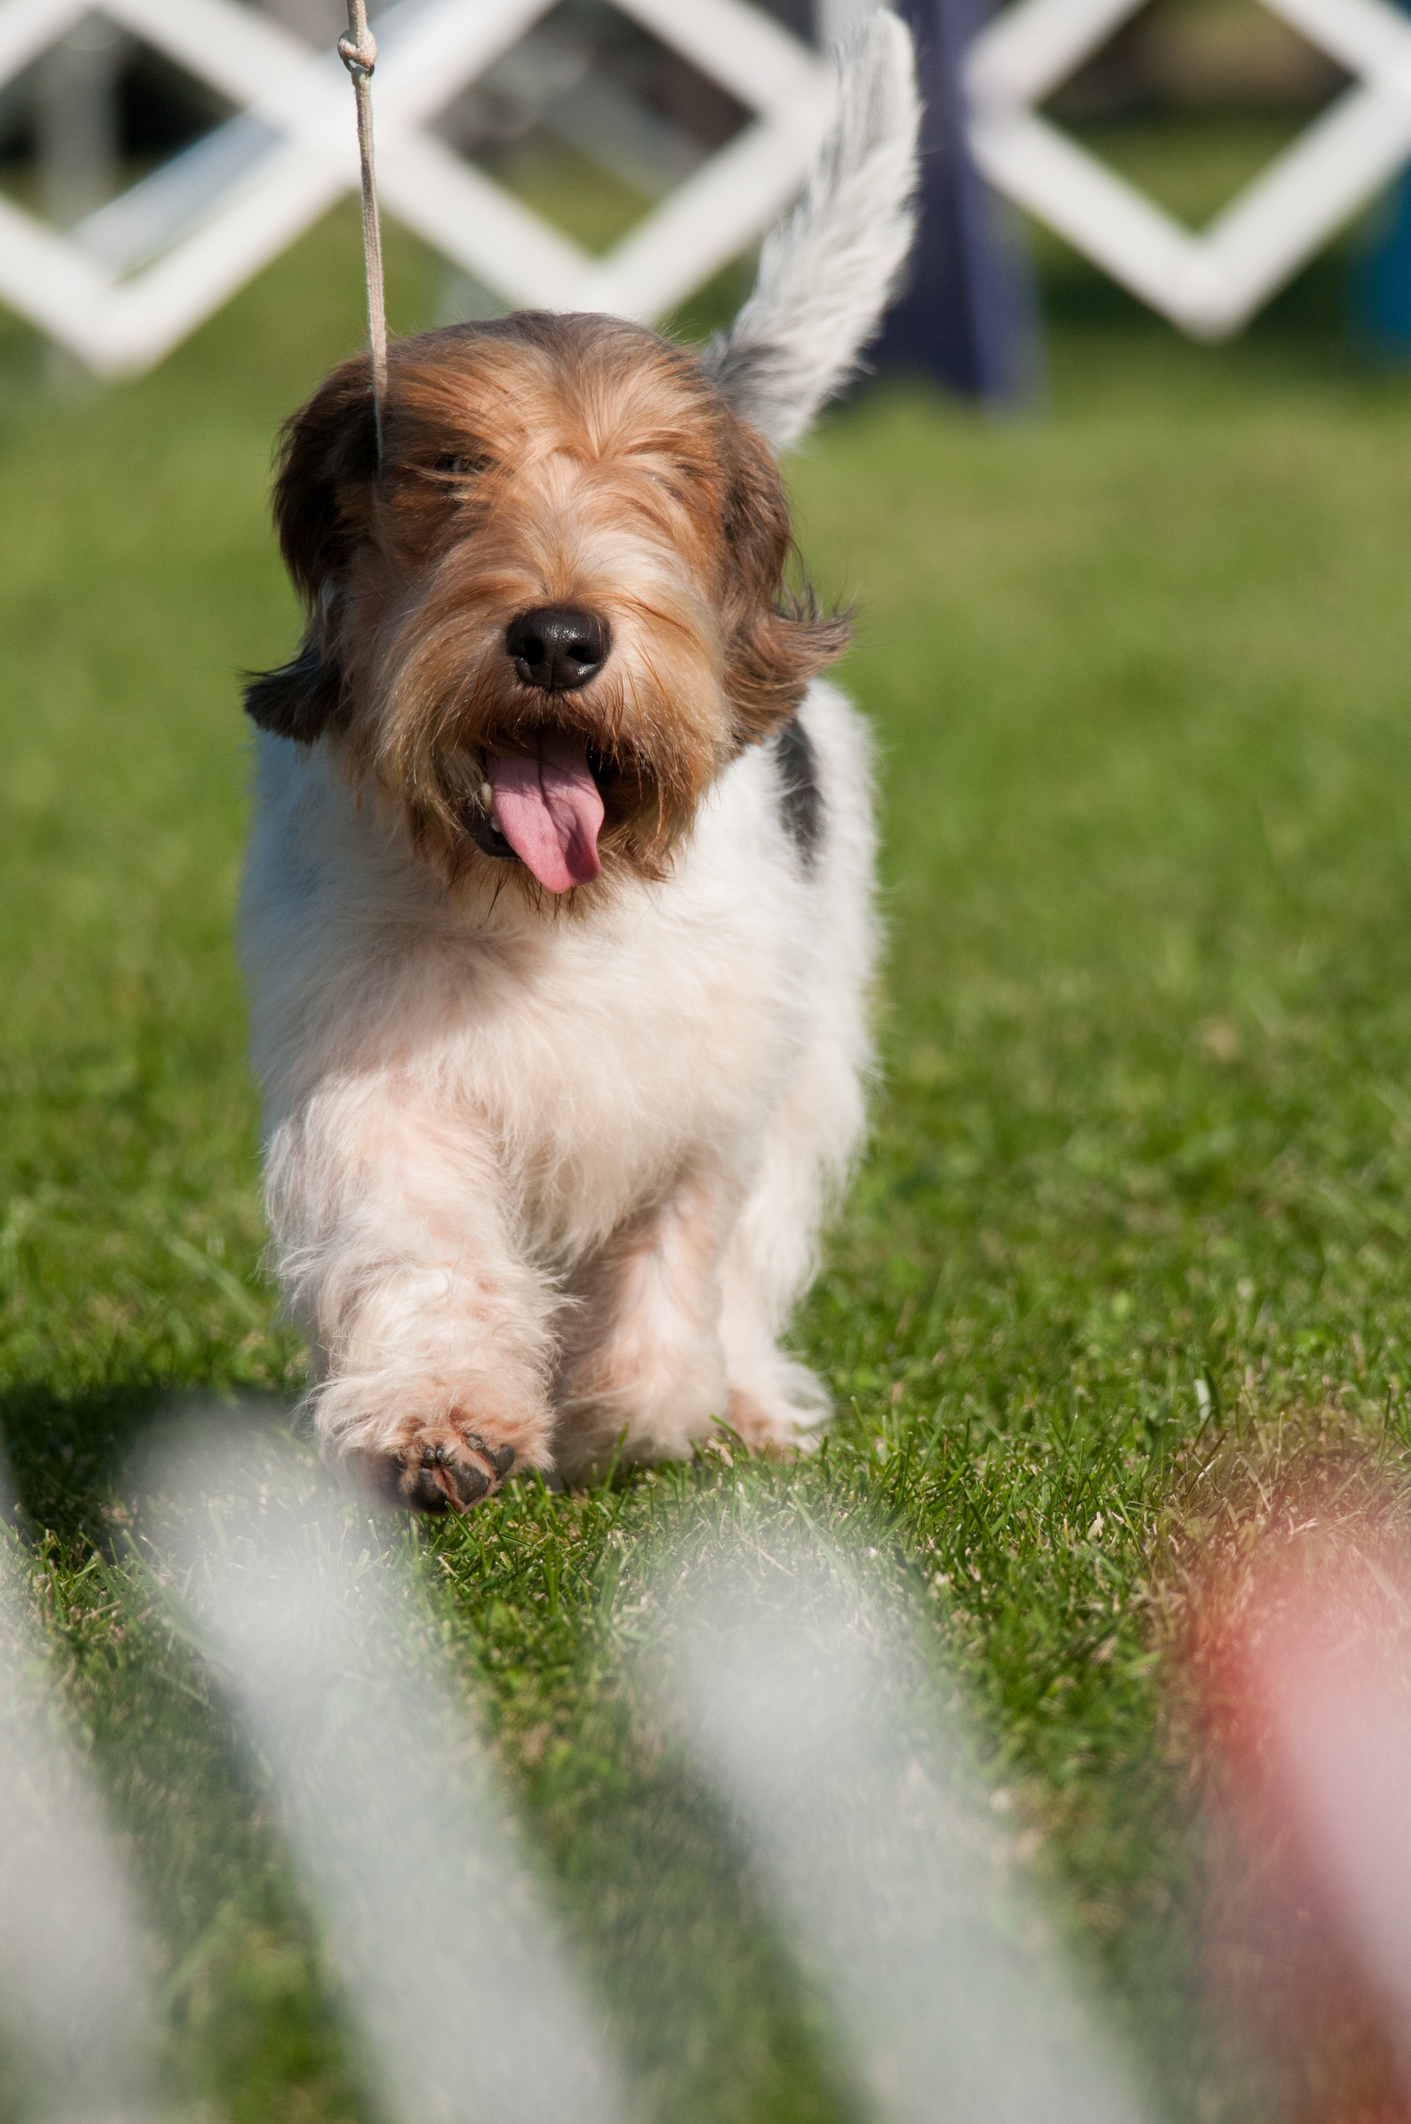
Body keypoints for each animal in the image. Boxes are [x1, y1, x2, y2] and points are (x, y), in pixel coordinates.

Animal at [240, 20, 926, 1512]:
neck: (543, 905)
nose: (558, 636)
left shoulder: (711, 1071)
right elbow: (415, 1241)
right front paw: (439, 1423)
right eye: (450, 471)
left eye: (658, 478)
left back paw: (741, 1402)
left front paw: (637, 1403)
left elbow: (685, 1236)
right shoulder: (373, 1063)